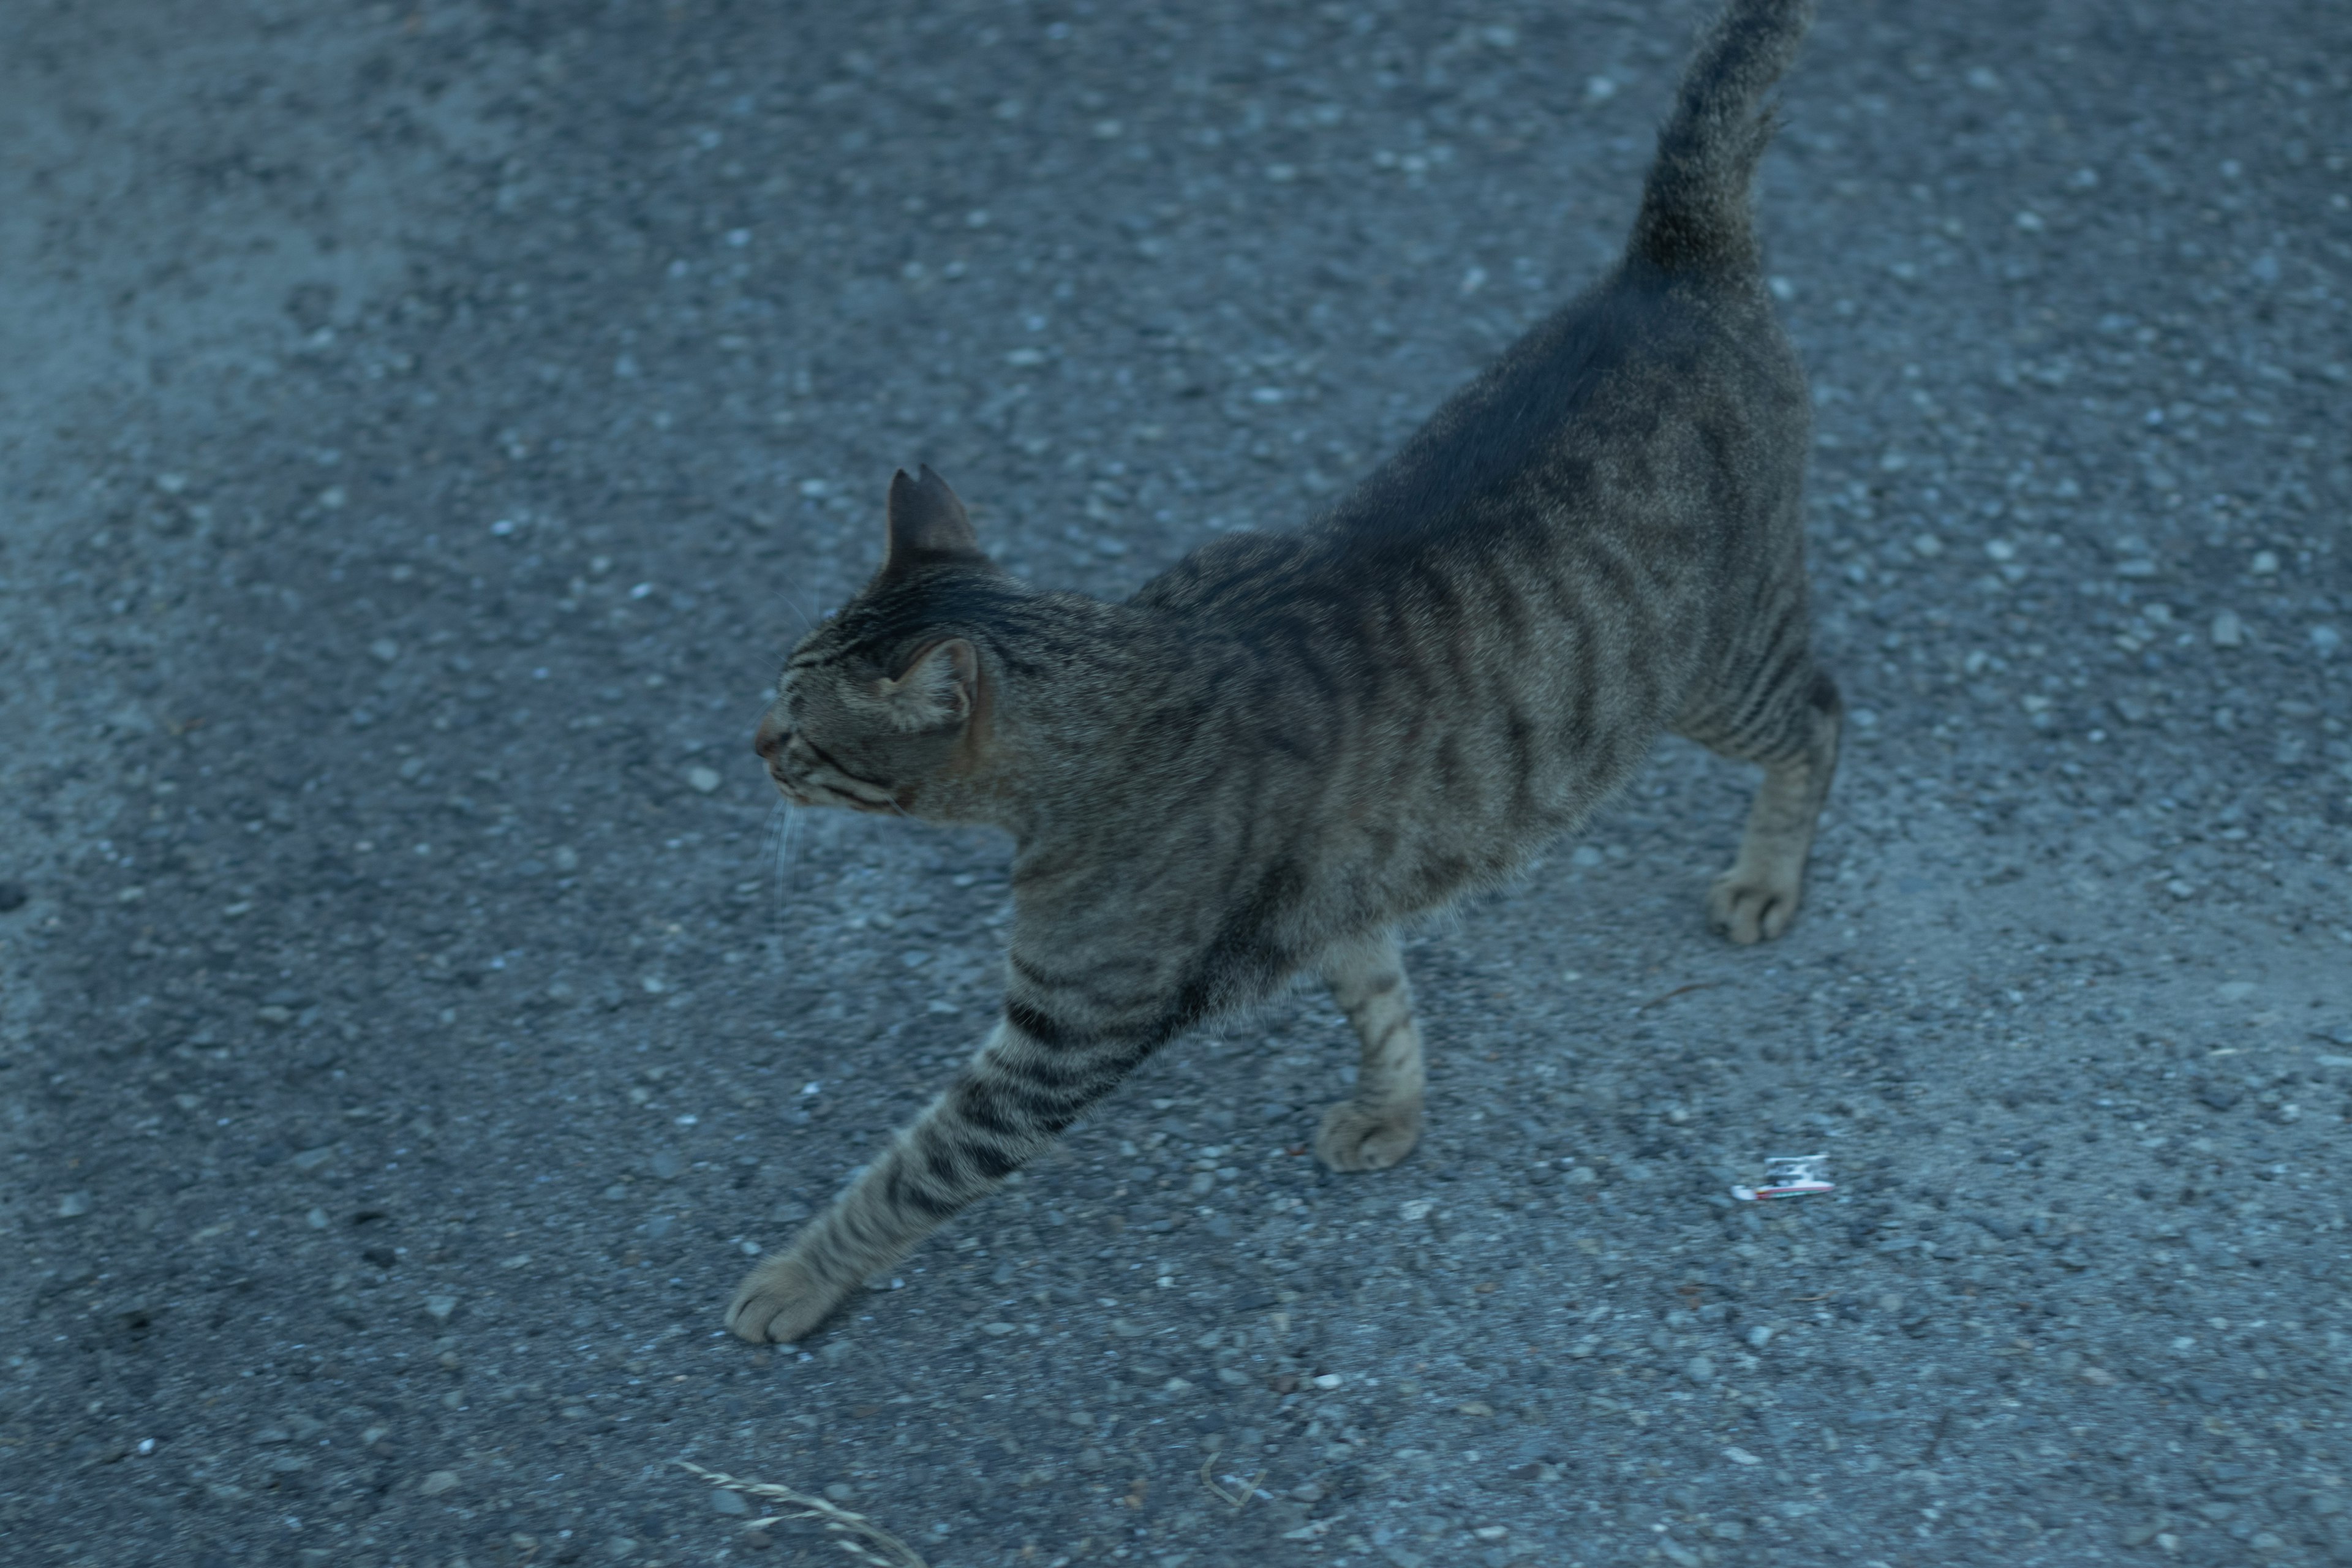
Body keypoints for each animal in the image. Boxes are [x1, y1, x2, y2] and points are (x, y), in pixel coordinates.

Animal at [724, 0, 1825, 1354]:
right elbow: (1385, 1008)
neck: (1122, 685)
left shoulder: (1058, 1040)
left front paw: (792, 1277)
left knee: (1823, 718)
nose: (749, 742)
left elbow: (905, 1173)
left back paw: (1769, 876)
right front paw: (1393, 1110)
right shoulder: (1345, 898)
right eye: (777, 693)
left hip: (1722, 668)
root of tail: (1666, 260)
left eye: (802, 725)